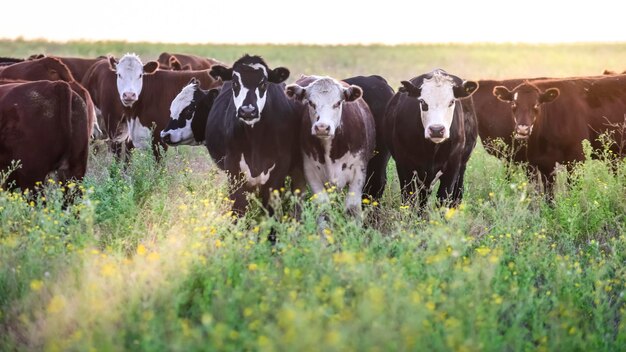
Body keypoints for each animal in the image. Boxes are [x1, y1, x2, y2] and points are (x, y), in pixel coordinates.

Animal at [206, 54, 304, 228]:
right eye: (235, 82)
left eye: (263, 83)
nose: (248, 111)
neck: (255, 140)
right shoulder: (234, 173)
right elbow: (238, 212)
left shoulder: (277, 174)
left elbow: (271, 213)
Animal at [284, 75, 376, 217]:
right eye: (311, 103)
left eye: (338, 103)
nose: (322, 127)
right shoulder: (311, 173)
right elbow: (323, 208)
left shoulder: (359, 172)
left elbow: (352, 208)